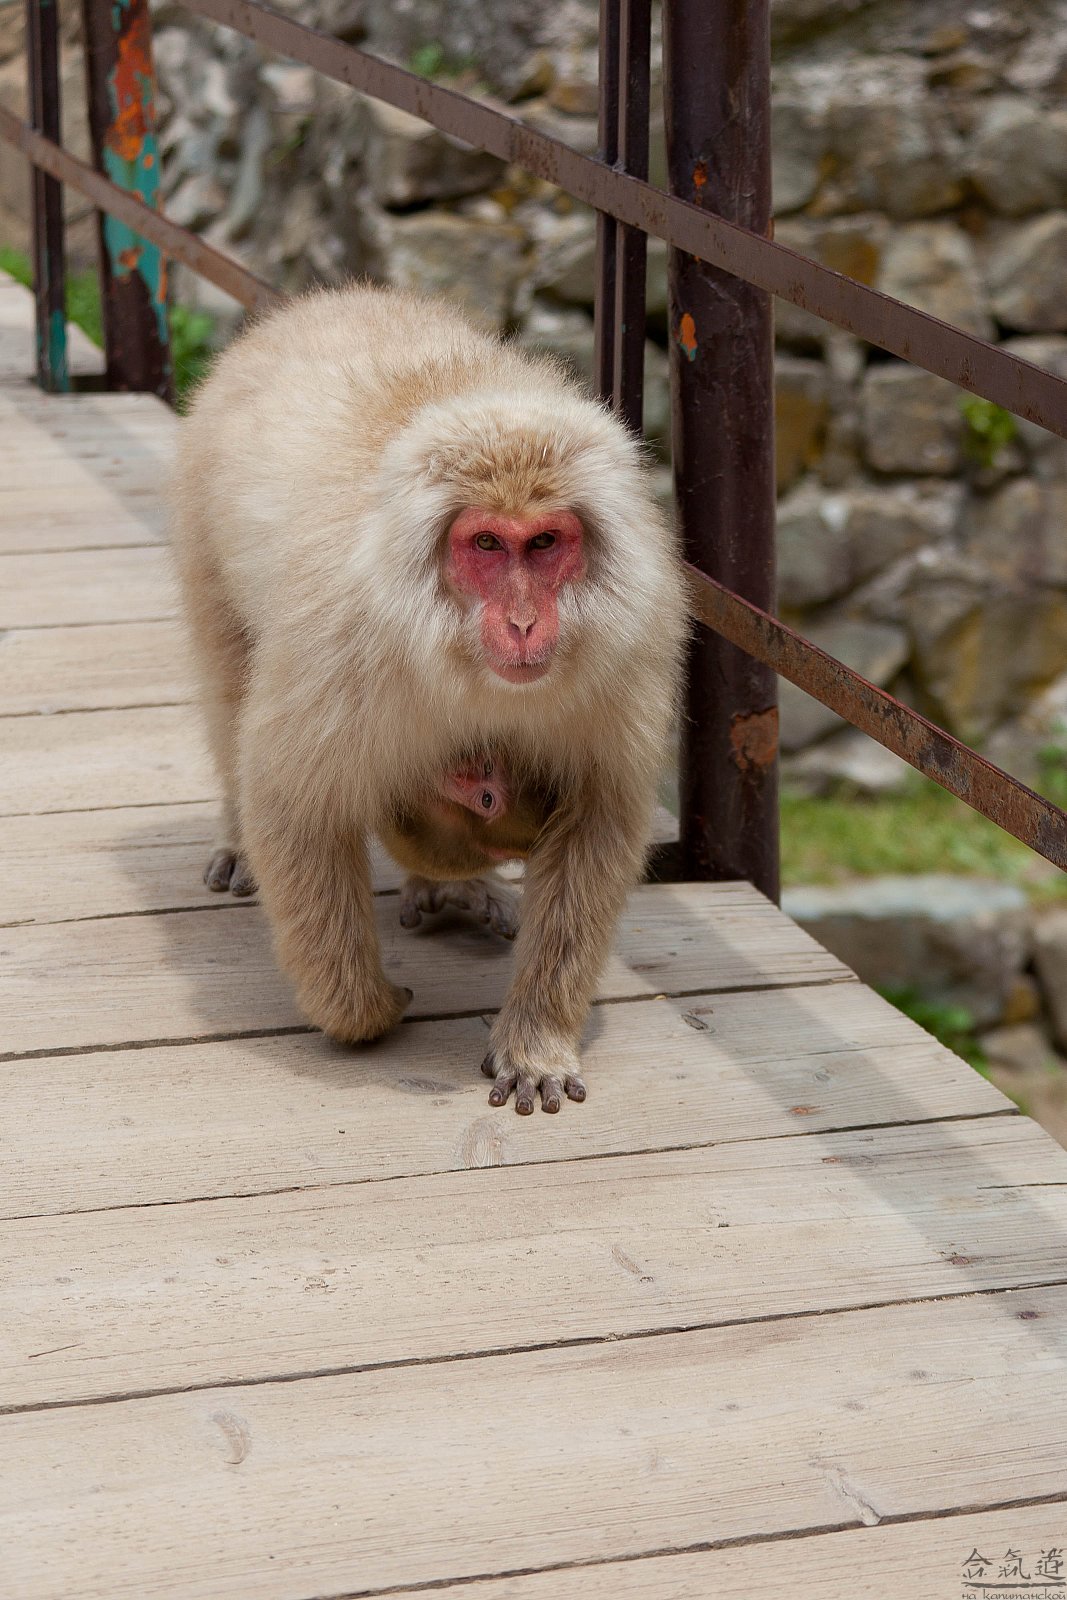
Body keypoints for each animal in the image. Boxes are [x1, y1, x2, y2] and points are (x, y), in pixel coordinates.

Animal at [171, 283, 687, 1113]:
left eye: (545, 543)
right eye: (487, 545)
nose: (523, 622)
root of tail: (323, 302)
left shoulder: (631, 643)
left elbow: (596, 818)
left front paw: (536, 1040)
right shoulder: (338, 646)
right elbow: (293, 803)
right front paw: (363, 1010)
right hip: (201, 536)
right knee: (229, 689)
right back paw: (239, 836)